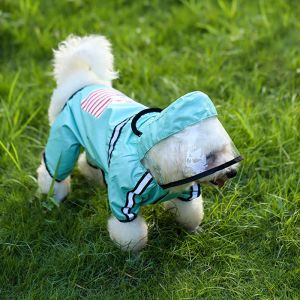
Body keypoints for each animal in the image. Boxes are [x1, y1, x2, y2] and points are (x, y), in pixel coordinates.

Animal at [37, 34, 241, 251]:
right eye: (208, 157)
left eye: (225, 150)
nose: (232, 172)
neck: (153, 167)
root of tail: (81, 81)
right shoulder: (125, 204)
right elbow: (131, 234)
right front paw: (135, 255)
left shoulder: (186, 193)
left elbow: (191, 214)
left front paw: (194, 231)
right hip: (63, 141)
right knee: (53, 171)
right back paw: (53, 196)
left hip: (92, 144)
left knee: (88, 162)